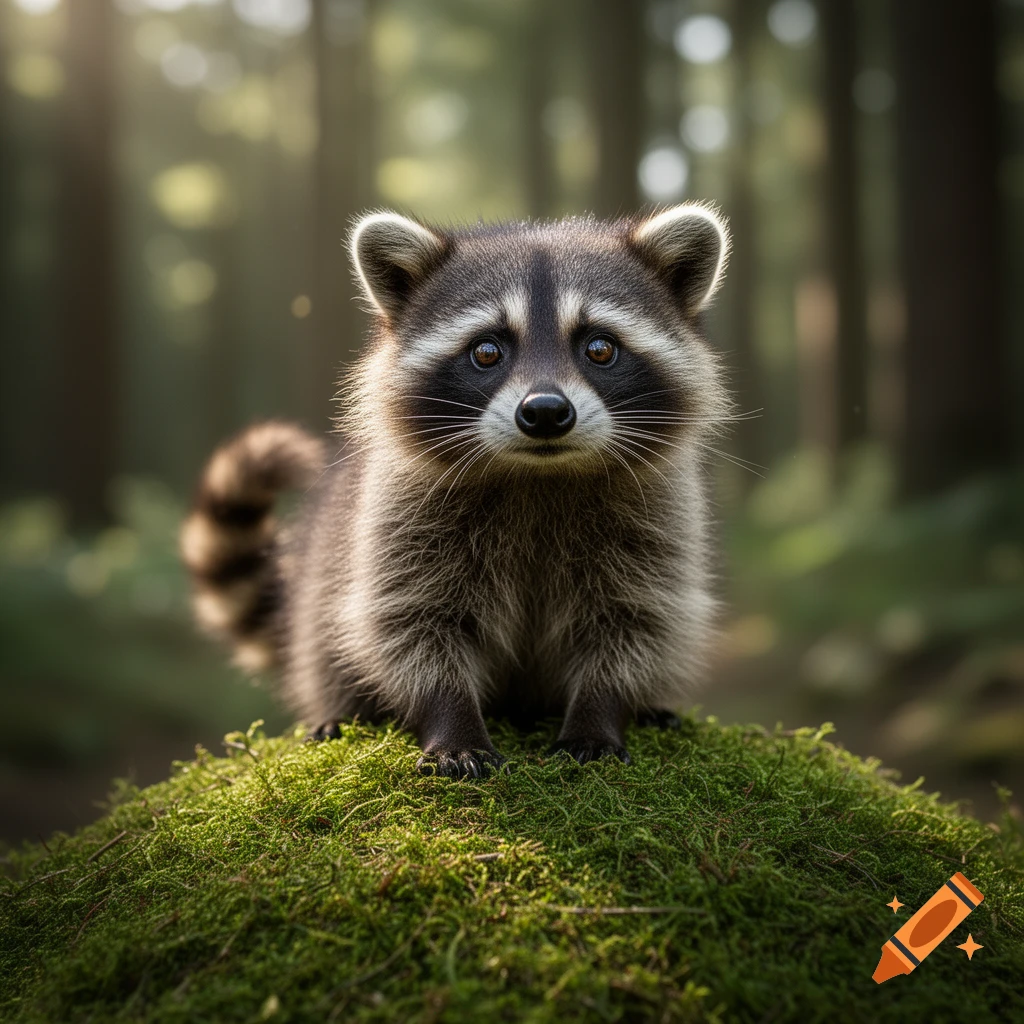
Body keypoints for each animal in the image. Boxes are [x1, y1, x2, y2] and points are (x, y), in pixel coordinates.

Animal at [181, 203, 733, 777]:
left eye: (599, 347)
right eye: (487, 351)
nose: (545, 412)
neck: (537, 475)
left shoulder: (657, 515)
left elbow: (636, 619)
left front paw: (599, 714)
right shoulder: (400, 514)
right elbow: (412, 623)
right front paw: (452, 721)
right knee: (325, 640)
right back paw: (341, 709)